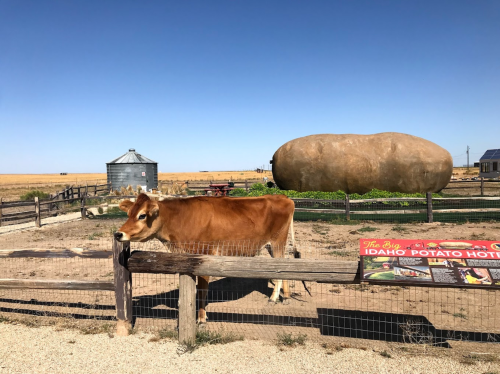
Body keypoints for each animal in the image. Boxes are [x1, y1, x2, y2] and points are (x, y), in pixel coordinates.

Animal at [115, 193, 294, 324]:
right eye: (128, 214)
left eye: (142, 215)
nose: (118, 234)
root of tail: (282, 196)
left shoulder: (204, 257)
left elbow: (201, 291)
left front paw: (201, 318)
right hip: (271, 245)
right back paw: (286, 296)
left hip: (278, 241)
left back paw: (273, 298)